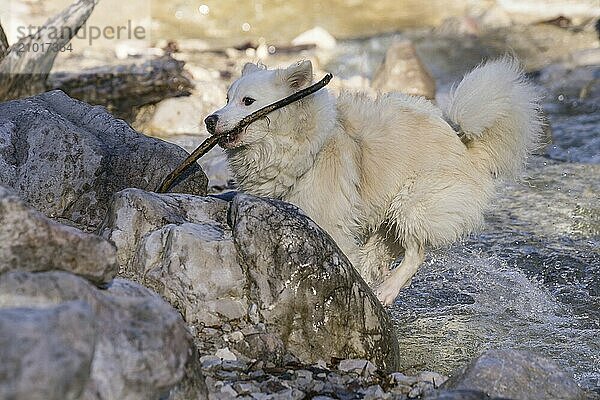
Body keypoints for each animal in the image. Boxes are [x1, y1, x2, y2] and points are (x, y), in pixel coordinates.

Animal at [205, 57, 540, 304]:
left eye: (248, 101)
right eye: (227, 98)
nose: (209, 120)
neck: (304, 145)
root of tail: (464, 144)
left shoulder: (330, 222)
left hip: (413, 202)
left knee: (416, 252)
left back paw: (387, 291)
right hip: (386, 214)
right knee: (380, 252)